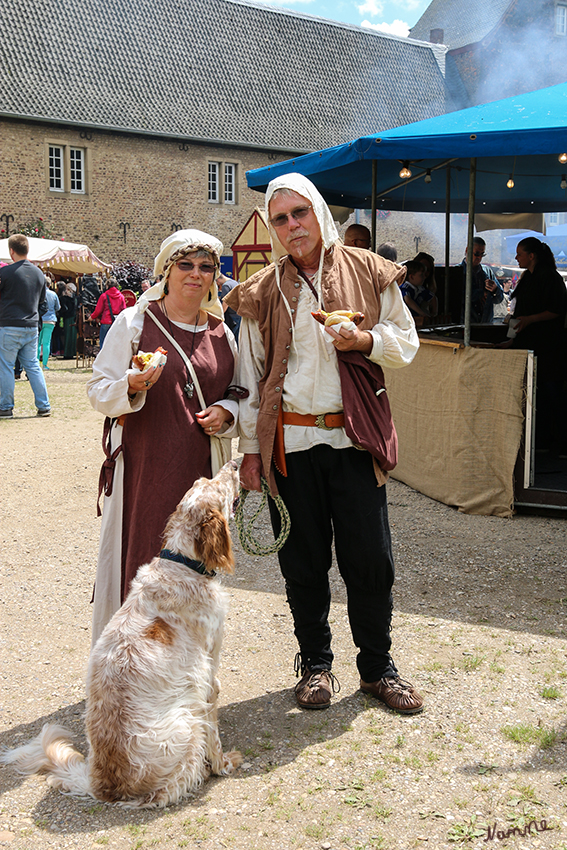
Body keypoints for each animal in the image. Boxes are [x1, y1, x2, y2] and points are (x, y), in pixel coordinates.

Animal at [0, 460, 242, 804]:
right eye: (218, 487)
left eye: (206, 481)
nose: (235, 463)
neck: (182, 564)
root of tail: (98, 782)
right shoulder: (208, 675)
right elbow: (215, 735)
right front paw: (224, 765)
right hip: (186, 722)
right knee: (167, 788)